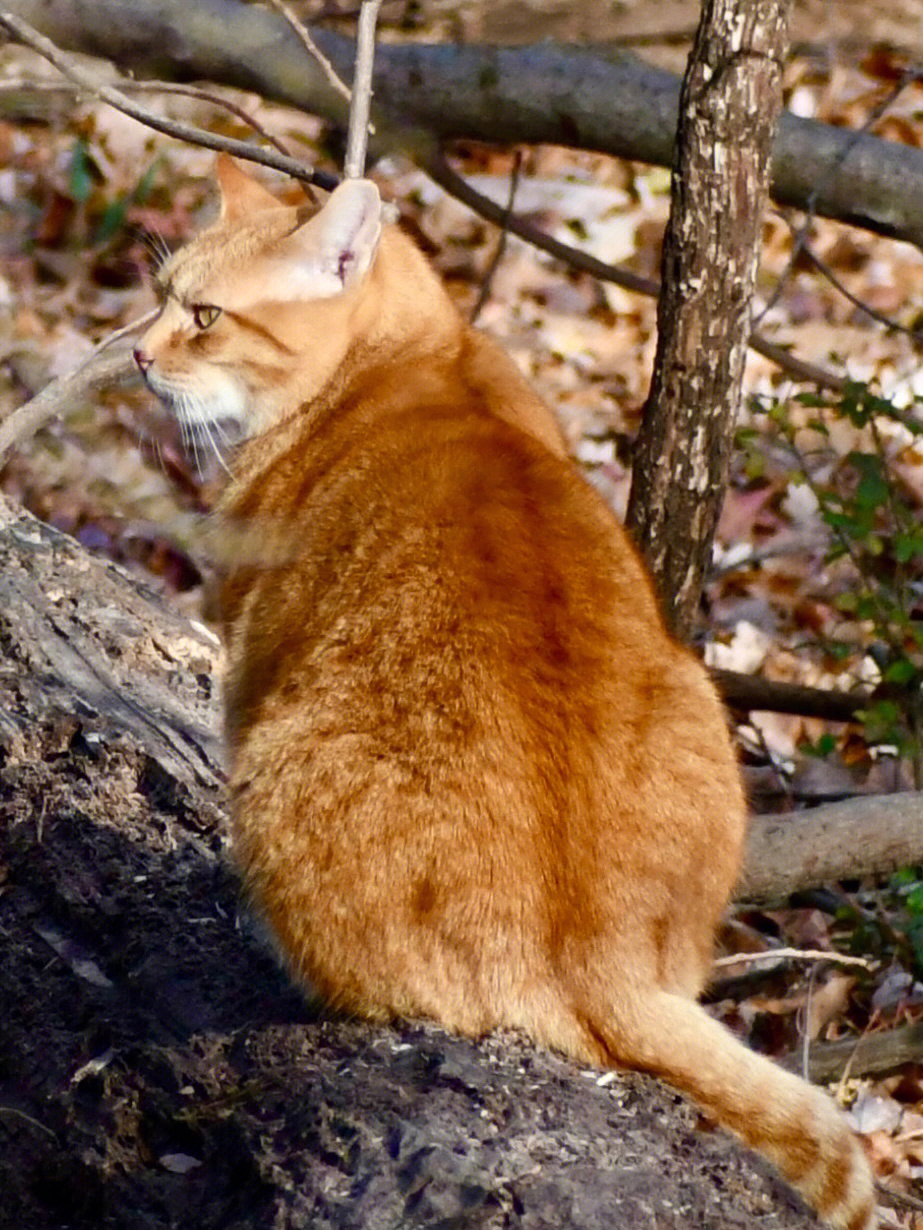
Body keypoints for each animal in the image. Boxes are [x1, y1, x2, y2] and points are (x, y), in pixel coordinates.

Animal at [133, 158, 876, 1225]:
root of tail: (603, 959)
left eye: (203, 316)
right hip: (699, 701)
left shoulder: (248, 656)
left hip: (277, 766)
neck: (418, 358)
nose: (138, 356)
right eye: (159, 295)